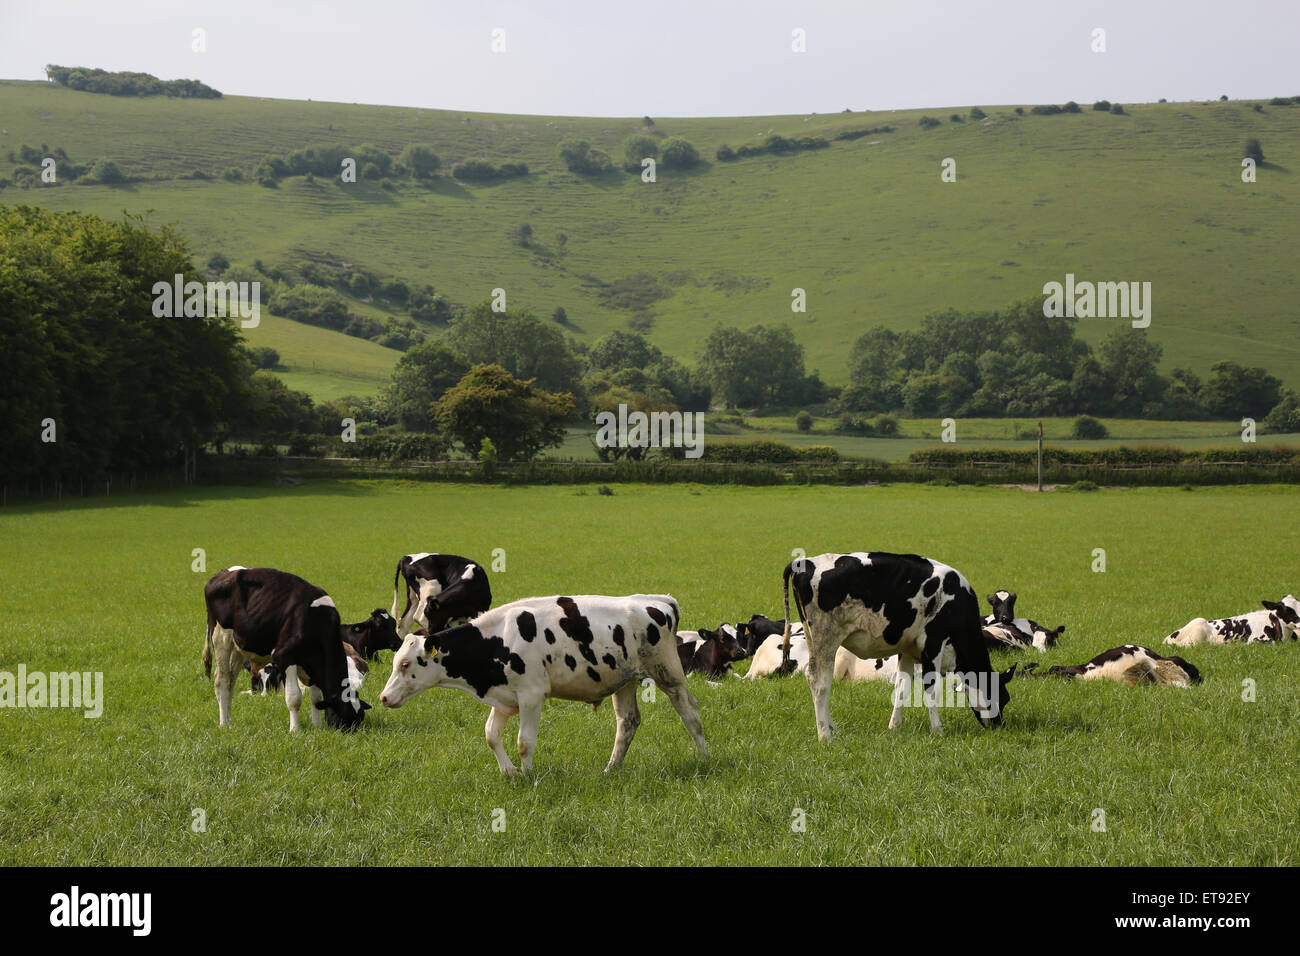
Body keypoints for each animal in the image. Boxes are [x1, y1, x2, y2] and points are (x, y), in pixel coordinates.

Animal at [780, 548, 1013, 738]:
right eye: (1000, 696)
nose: (999, 726)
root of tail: (806, 562)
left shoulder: (908, 649)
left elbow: (902, 686)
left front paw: (894, 726)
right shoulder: (933, 644)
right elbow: (931, 689)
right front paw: (937, 730)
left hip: (812, 637)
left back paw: (832, 729)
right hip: (826, 638)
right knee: (819, 682)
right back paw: (825, 735)